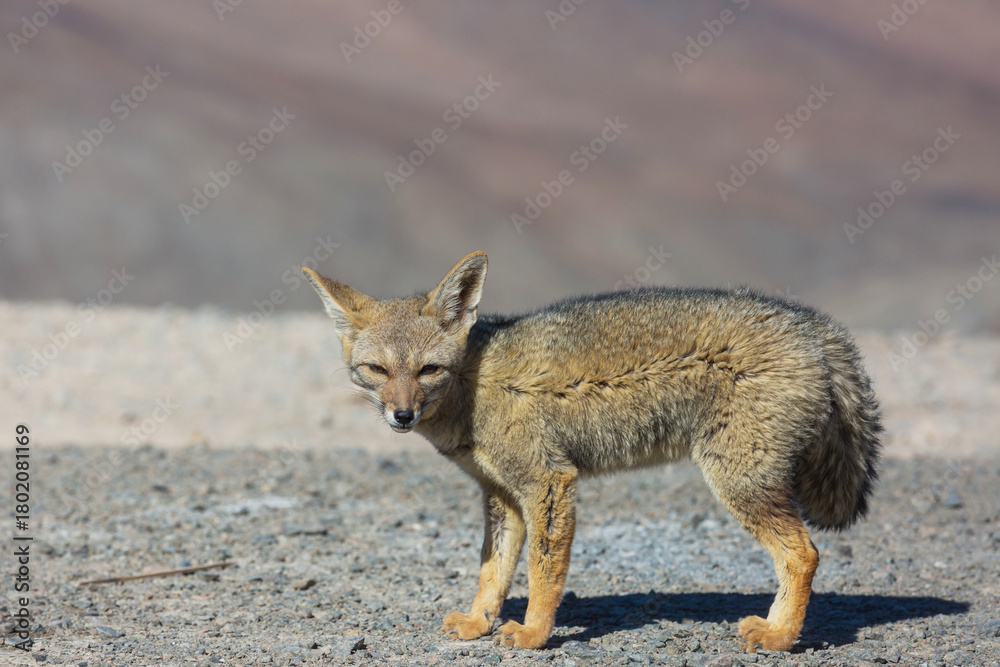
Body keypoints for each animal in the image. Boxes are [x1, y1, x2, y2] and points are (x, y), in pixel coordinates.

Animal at [302, 251, 882, 653]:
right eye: (377, 370)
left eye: (428, 370)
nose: (402, 416)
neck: (472, 384)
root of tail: (811, 324)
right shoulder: (503, 496)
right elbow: (493, 570)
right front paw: (478, 623)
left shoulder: (548, 480)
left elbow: (543, 569)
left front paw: (533, 634)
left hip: (737, 480)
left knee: (803, 554)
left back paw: (780, 636)